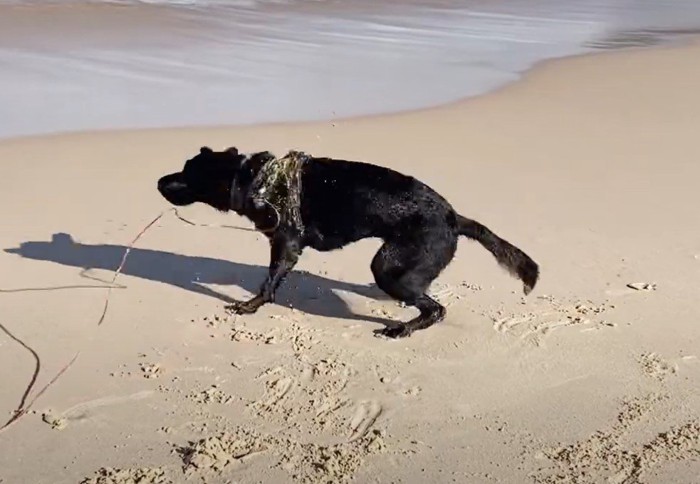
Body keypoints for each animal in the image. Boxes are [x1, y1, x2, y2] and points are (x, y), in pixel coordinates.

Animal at [159, 146, 540, 338]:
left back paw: (401, 330)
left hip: (388, 267)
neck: (255, 181)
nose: (159, 181)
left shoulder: (285, 246)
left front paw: (250, 306)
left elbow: (268, 283)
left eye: (187, 173)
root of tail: (454, 217)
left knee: (435, 309)